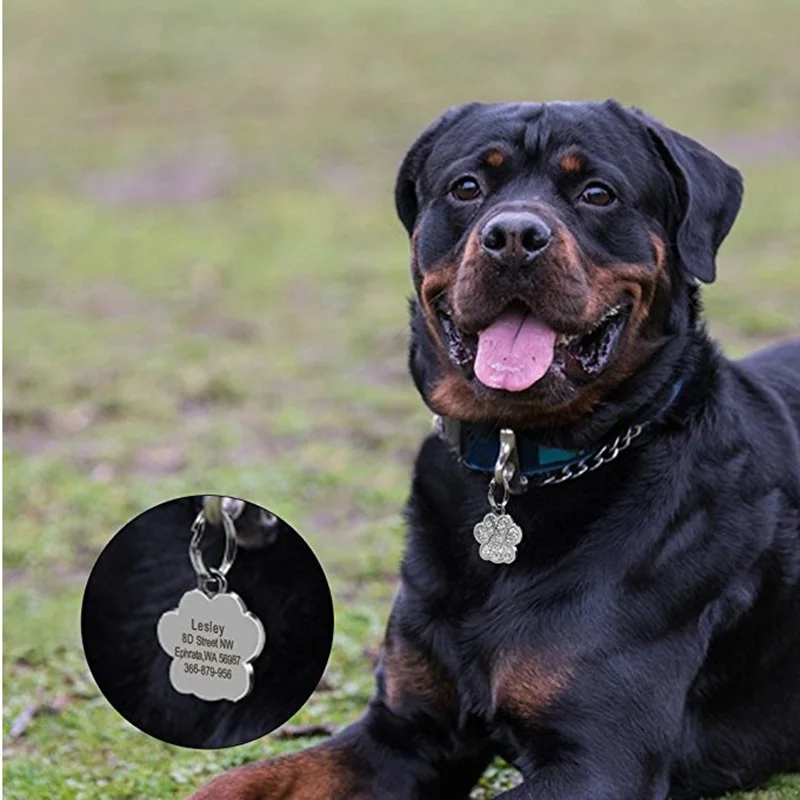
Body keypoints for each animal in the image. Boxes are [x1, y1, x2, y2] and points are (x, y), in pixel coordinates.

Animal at [192, 100, 800, 799]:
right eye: (467, 187)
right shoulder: (403, 732)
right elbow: (236, 782)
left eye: (597, 193)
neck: (523, 461)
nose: (513, 235)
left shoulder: (599, 763)